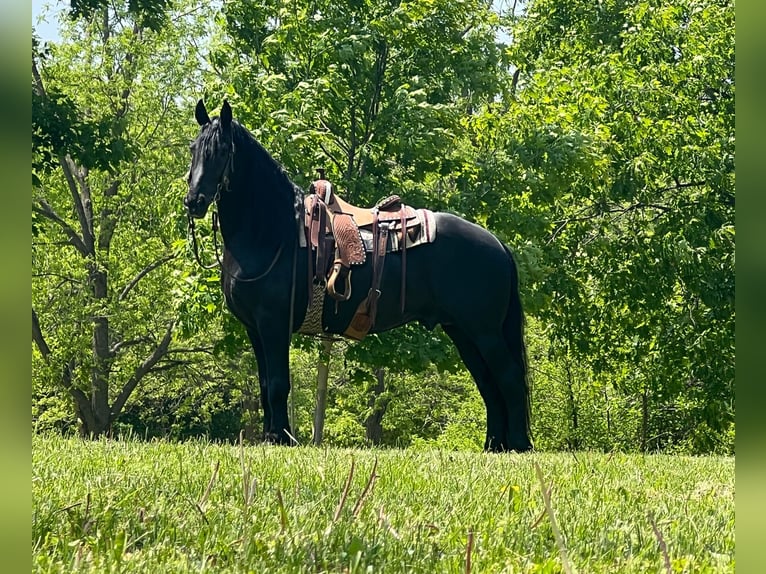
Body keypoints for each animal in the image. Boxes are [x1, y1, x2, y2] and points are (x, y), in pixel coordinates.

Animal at [186, 100, 536, 454]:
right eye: (193, 149)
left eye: (222, 150)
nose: (194, 202)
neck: (275, 230)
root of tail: (497, 244)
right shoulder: (255, 329)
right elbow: (263, 383)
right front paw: (272, 436)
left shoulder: (273, 324)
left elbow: (277, 383)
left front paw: (281, 437)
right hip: (464, 333)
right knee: (489, 386)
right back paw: (494, 445)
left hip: (484, 331)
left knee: (509, 379)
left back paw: (519, 445)